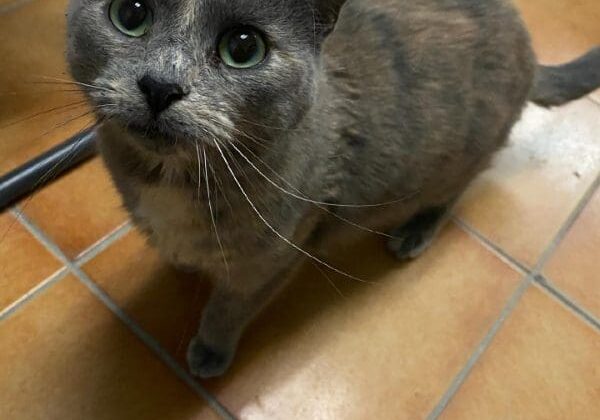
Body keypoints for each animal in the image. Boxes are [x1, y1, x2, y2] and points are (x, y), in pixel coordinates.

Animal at [65, 0, 600, 378]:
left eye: (243, 48)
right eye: (131, 14)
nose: (160, 85)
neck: (169, 178)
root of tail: (527, 40)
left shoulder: (272, 258)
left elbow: (228, 307)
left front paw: (209, 349)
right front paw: (179, 264)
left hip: (463, 158)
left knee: (452, 193)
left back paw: (414, 233)